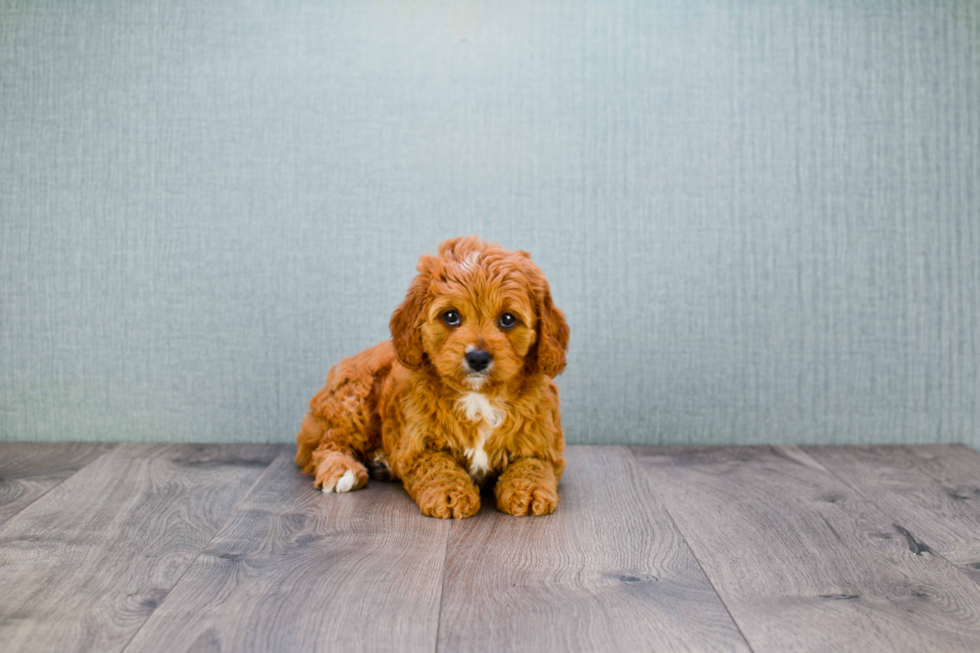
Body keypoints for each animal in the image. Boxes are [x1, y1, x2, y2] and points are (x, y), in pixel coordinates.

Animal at [300, 237, 576, 516]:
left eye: (508, 319)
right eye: (451, 316)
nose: (478, 357)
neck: (478, 396)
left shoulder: (541, 442)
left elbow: (533, 465)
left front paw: (529, 492)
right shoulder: (417, 445)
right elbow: (438, 465)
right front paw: (451, 495)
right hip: (354, 402)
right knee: (327, 443)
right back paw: (342, 470)